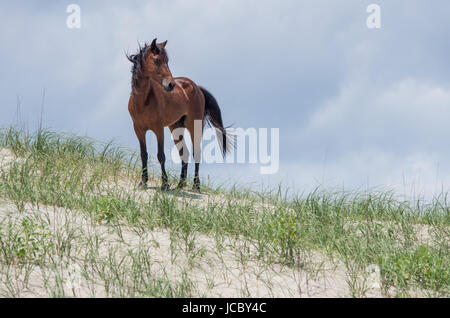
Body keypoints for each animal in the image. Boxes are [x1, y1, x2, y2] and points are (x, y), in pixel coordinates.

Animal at [126, 38, 232, 191]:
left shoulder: (159, 129)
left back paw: (196, 185)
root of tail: (197, 87)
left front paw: (165, 184)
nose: (171, 85)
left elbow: (161, 155)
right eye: (157, 60)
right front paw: (143, 182)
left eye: (167, 60)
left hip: (194, 126)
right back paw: (181, 183)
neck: (143, 101)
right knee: (184, 153)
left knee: (196, 152)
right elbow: (143, 155)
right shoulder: (139, 130)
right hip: (176, 127)